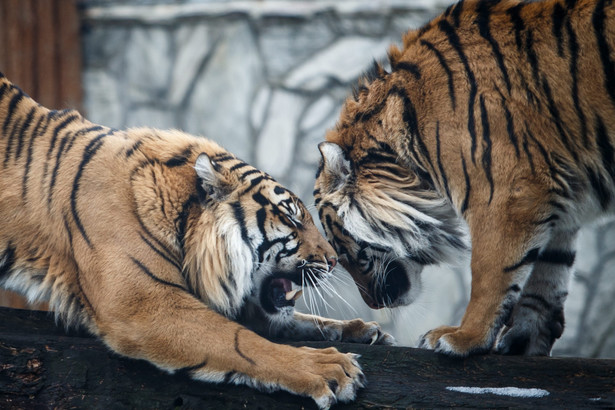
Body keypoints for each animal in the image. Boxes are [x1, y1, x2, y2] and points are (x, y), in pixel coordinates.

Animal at [0, 72, 394, 408]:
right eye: (291, 217)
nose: (334, 260)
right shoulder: (146, 304)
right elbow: (242, 342)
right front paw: (327, 369)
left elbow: (297, 319)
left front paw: (362, 330)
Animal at [316, 0, 615, 356]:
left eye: (344, 250)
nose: (373, 305)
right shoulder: (560, 200)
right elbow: (548, 275)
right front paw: (523, 343)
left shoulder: (507, 195)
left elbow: (490, 274)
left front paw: (463, 337)